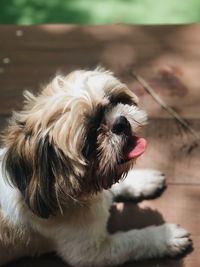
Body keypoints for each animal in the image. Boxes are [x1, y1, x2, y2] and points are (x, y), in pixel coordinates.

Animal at [0, 69, 191, 267]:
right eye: (90, 136)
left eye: (114, 101)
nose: (121, 123)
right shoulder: (91, 252)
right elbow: (134, 241)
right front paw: (165, 237)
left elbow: (115, 186)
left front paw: (144, 180)